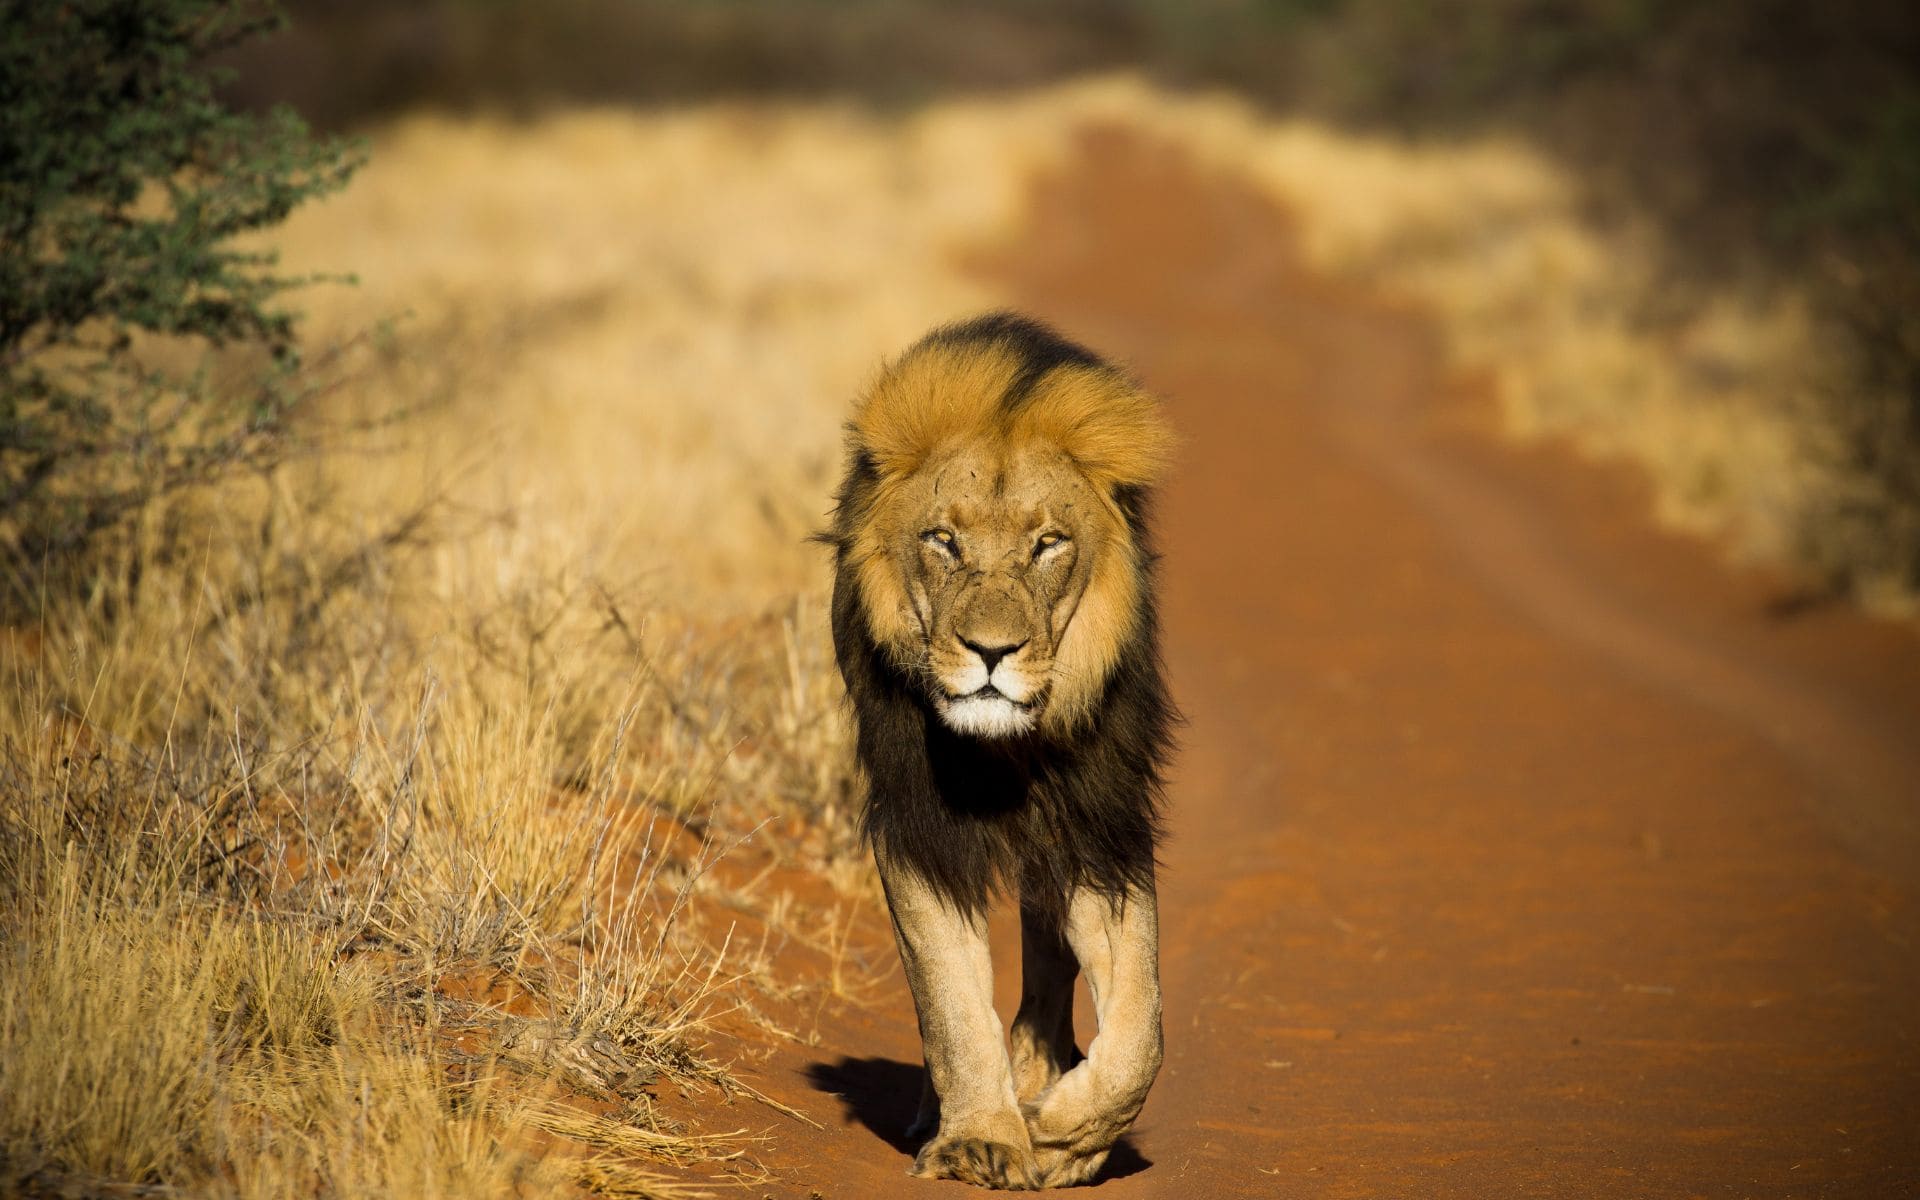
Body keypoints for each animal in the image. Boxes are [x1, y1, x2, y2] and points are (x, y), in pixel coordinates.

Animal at [823, 313, 1177, 1189]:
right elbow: (950, 997)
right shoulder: (917, 824)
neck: (1004, 752)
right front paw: (981, 1137)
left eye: (1049, 543)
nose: (992, 652)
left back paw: (1039, 1073)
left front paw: (1066, 1136)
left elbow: (1142, 1022)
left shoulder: (1098, 820)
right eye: (943, 540)